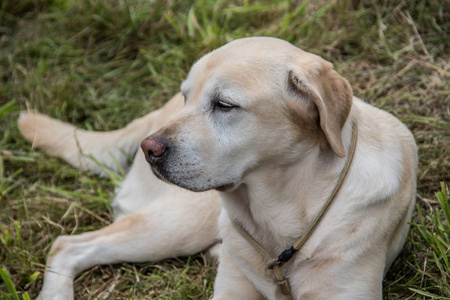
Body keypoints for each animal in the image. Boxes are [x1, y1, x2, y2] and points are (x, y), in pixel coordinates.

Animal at [19, 38, 416, 300]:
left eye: (224, 105)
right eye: (187, 97)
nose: (150, 149)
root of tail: (151, 116)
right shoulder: (232, 291)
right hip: (177, 223)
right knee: (67, 245)